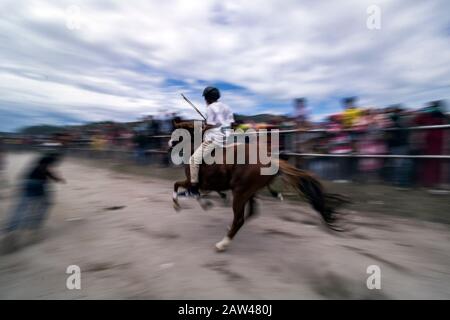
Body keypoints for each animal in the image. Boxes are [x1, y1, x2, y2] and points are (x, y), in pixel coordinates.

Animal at [171, 121, 350, 251]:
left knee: (240, 219)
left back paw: (223, 243)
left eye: (176, 132)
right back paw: (228, 230)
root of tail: (270, 159)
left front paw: (178, 204)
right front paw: (204, 202)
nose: (169, 143)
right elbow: (192, 191)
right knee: (251, 212)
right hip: (248, 192)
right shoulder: (205, 184)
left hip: (241, 192)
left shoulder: (192, 180)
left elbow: (177, 185)